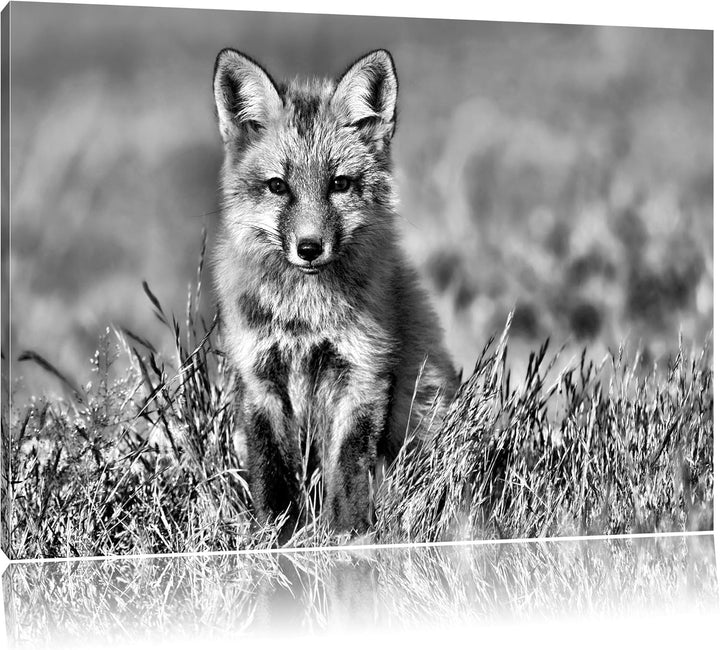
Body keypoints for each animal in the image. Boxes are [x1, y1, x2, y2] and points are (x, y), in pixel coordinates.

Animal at [212, 48, 458, 537]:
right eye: (278, 186)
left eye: (339, 184)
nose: (309, 248)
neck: (304, 318)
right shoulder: (259, 375)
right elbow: (271, 471)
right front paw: (277, 538)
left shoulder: (362, 370)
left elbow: (347, 467)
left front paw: (347, 539)